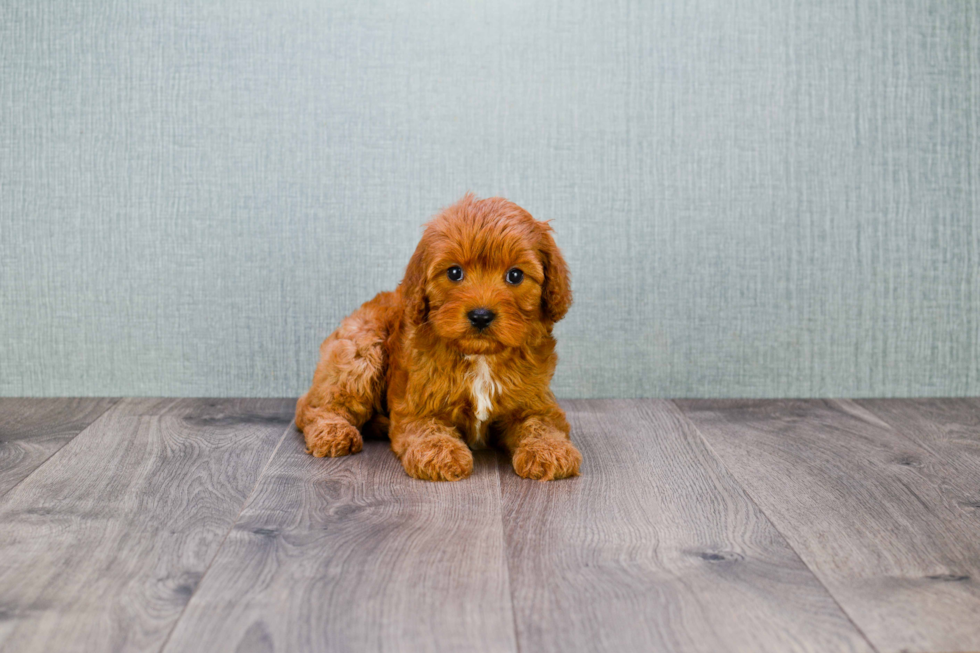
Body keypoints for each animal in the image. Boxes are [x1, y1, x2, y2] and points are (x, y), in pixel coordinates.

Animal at [292, 192, 580, 478]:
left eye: (515, 275)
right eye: (454, 272)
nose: (481, 315)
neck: (480, 356)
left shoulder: (536, 401)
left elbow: (541, 423)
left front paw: (549, 450)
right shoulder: (417, 406)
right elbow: (428, 427)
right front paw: (440, 453)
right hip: (362, 350)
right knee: (314, 404)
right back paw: (333, 431)